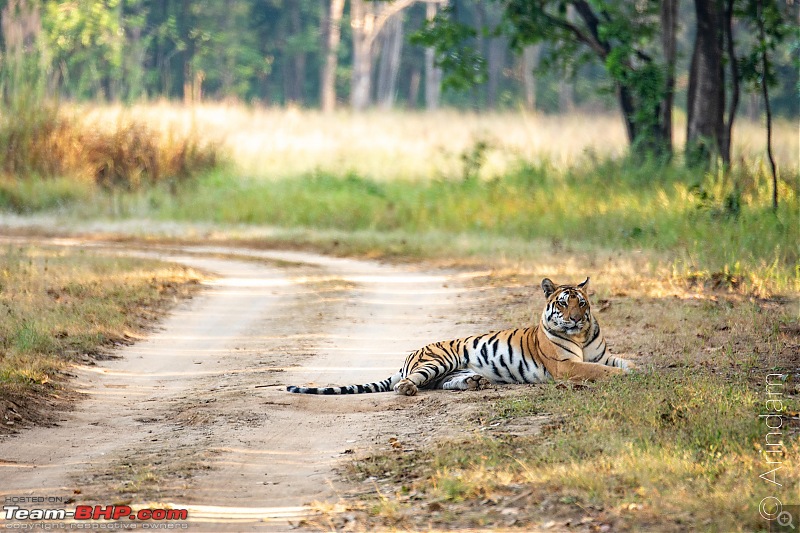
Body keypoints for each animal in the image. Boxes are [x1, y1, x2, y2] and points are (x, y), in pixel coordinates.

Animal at [284, 278, 636, 394]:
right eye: (563, 304)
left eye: (581, 303)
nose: (575, 319)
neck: (581, 337)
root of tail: (408, 357)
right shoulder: (567, 365)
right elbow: (598, 370)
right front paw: (622, 377)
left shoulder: (602, 354)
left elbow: (625, 361)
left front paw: (639, 371)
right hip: (437, 361)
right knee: (407, 383)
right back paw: (408, 388)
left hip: (449, 370)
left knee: (443, 384)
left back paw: (475, 382)